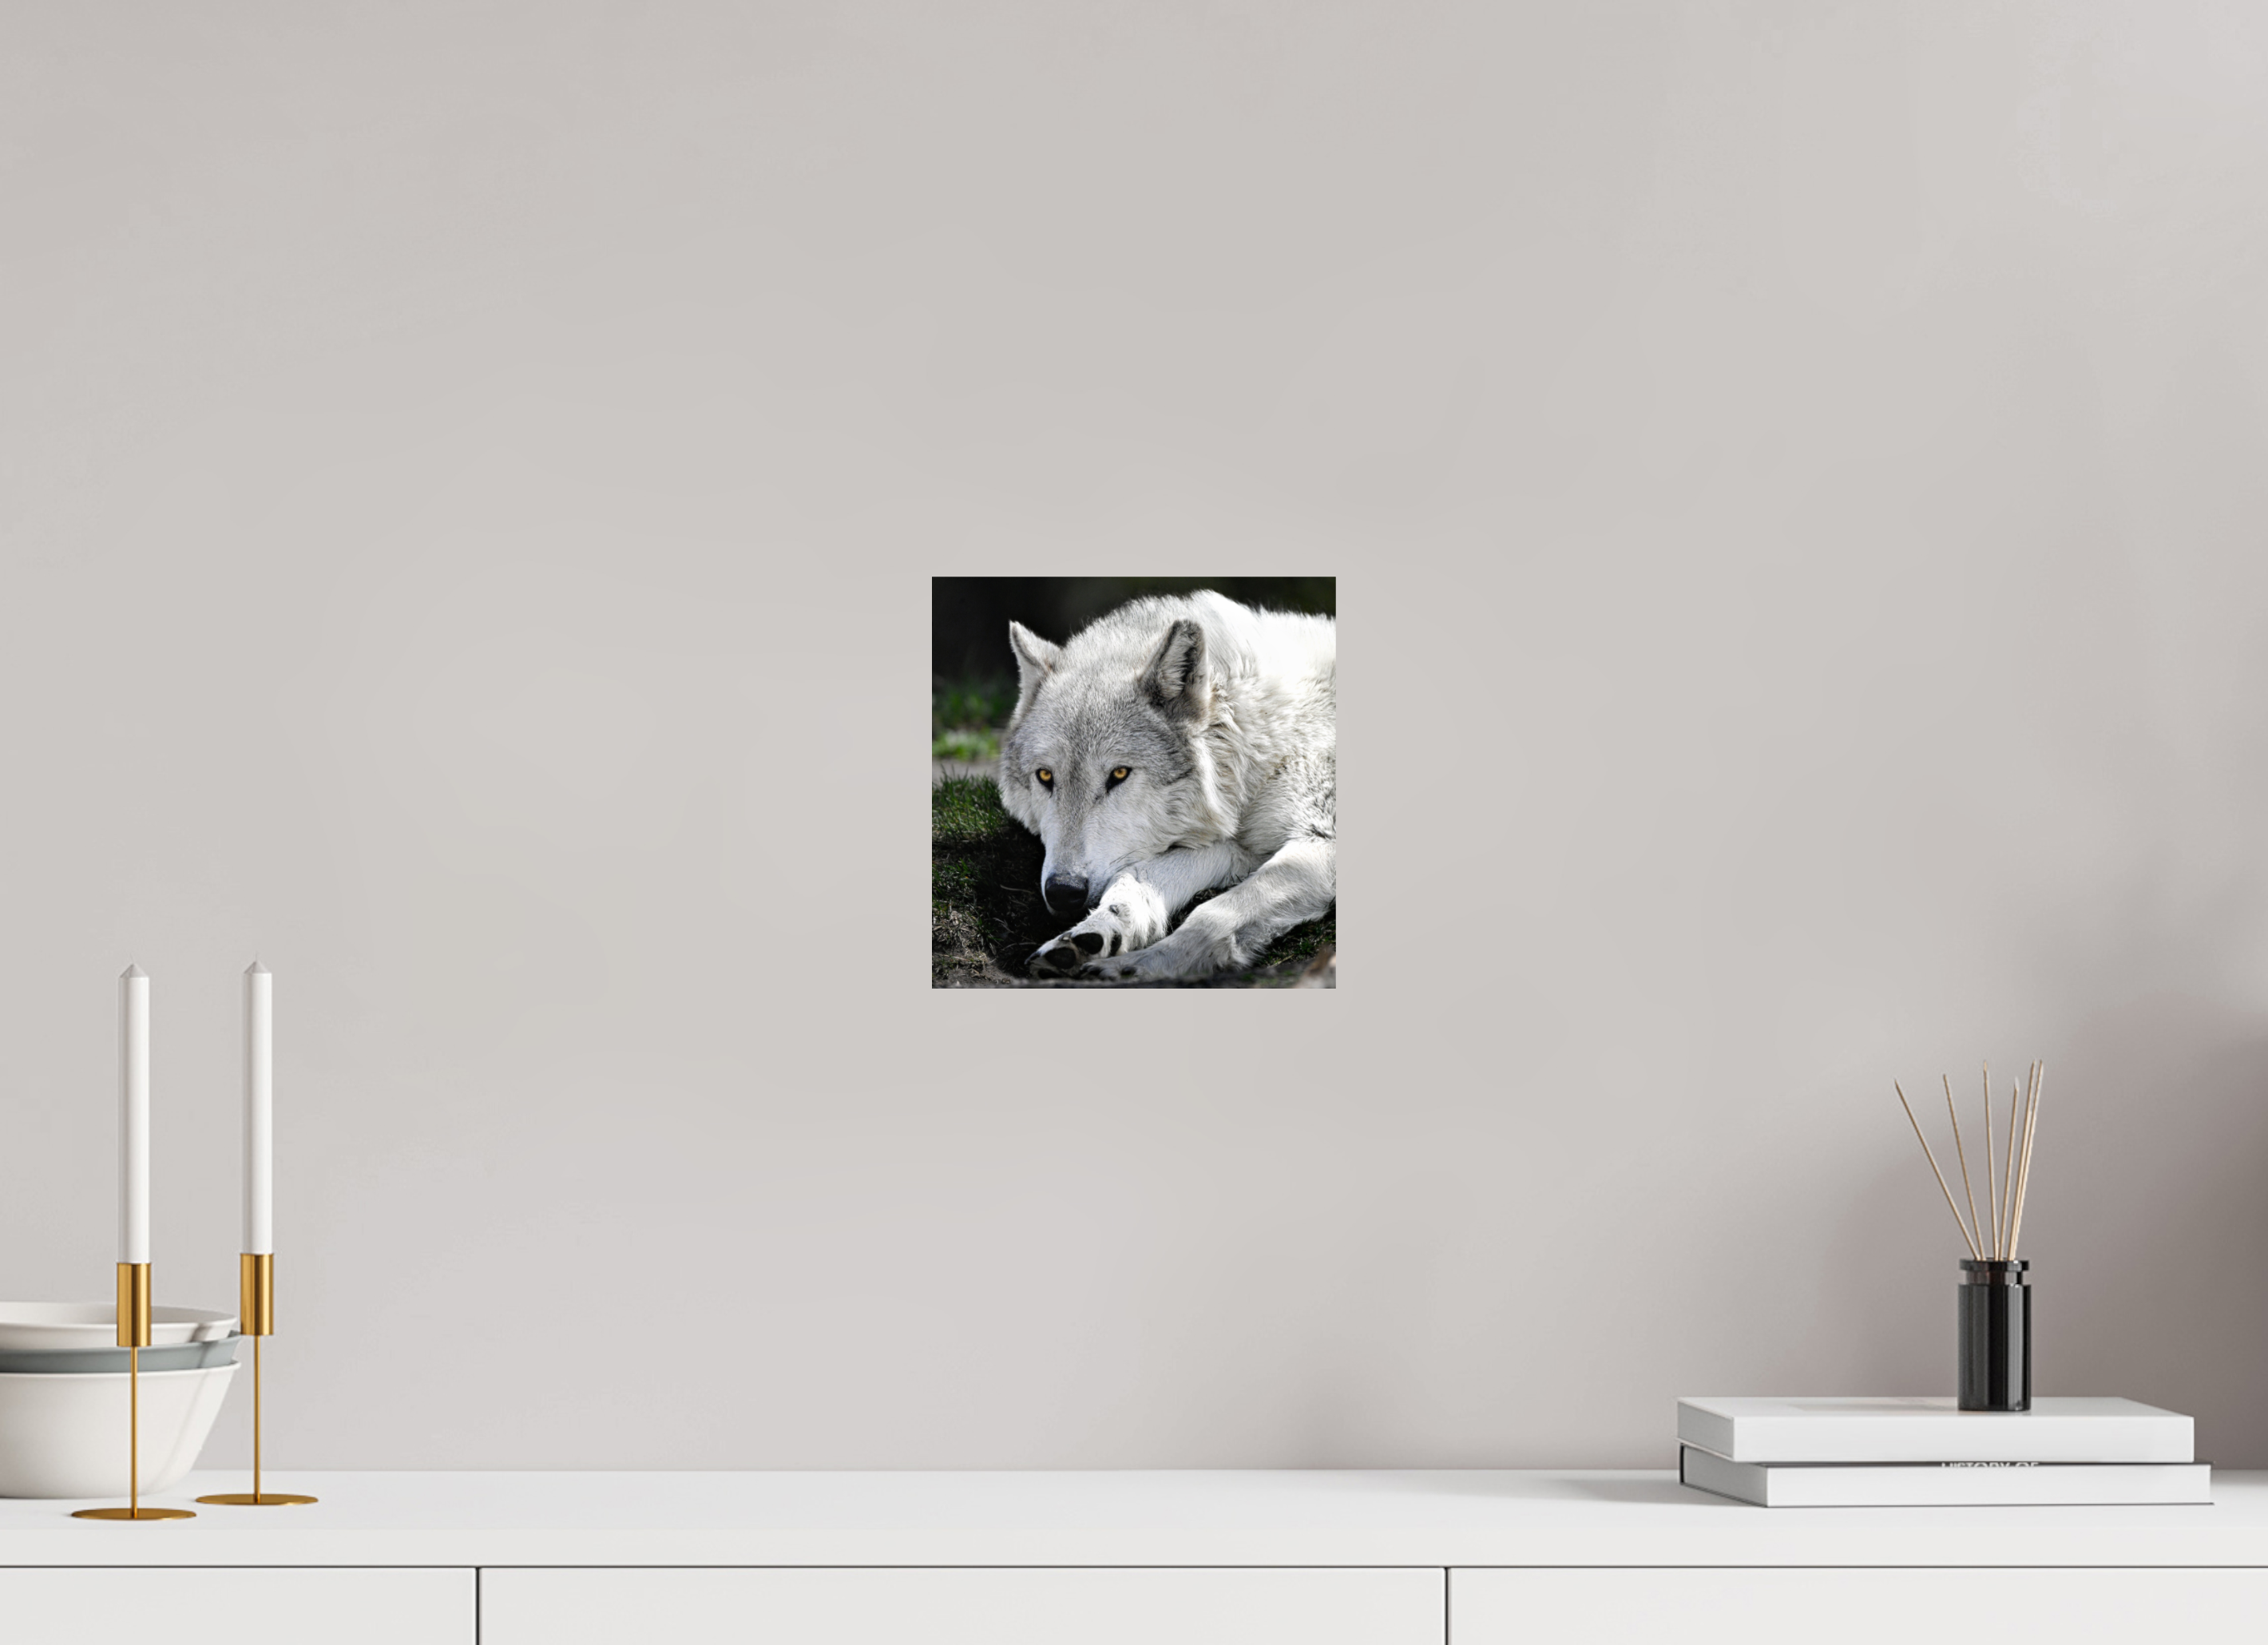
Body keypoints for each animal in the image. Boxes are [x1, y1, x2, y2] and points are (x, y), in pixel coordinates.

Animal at [998, 591, 1335, 982]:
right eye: (1045, 777)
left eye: (1119, 774)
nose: (1063, 892)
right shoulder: (1241, 849)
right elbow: (1135, 876)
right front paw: (1096, 932)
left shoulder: (1321, 841)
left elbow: (1213, 912)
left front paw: (1139, 967)